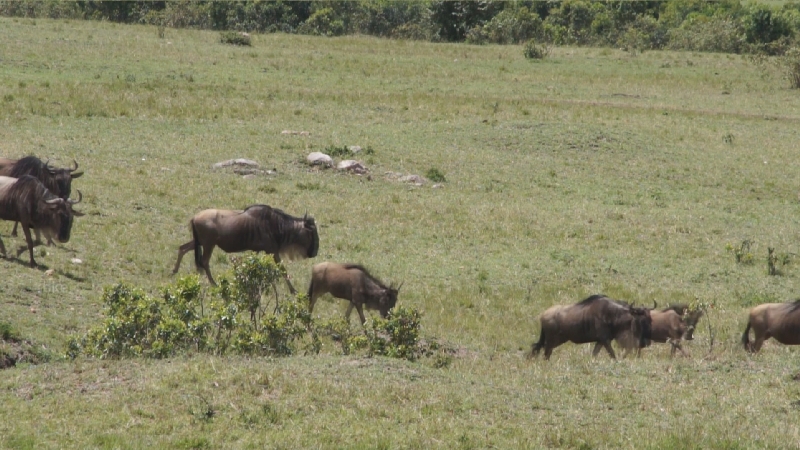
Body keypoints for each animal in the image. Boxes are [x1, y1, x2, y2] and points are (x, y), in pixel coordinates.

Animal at [172, 205, 319, 291]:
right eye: (312, 232)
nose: (315, 252)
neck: (276, 225)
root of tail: (194, 217)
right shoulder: (273, 252)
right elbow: (282, 269)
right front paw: (293, 290)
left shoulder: (260, 251)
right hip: (208, 244)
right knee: (204, 262)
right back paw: (214, 283)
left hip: (199, 242)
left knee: (182, 248)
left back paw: (174, 272)